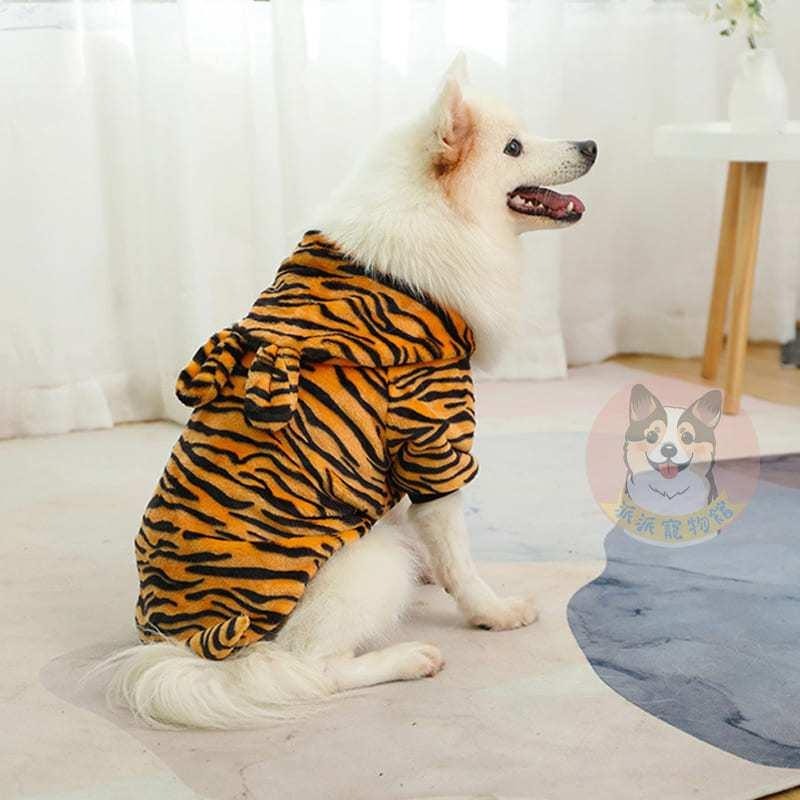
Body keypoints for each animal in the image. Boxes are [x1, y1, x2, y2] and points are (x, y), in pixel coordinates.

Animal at [135, 230, 478, 660]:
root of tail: (178, 640)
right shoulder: (432, 443)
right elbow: (457, 557)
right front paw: (497, 613)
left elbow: (416, 524)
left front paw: (430, 569)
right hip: (372, 562)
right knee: (312, 662)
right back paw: (411, 658)